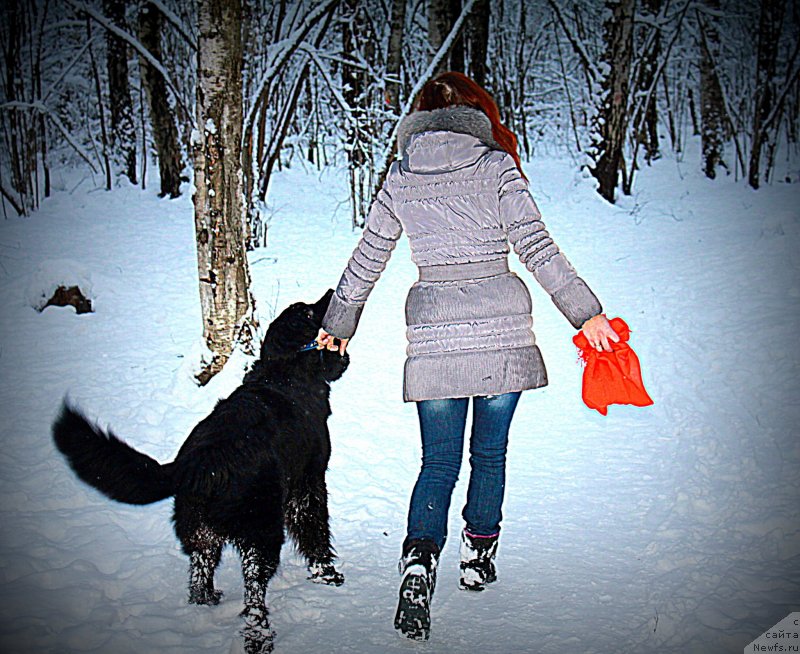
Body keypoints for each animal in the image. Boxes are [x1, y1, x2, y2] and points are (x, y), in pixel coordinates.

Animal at [50, 292, 346, 654]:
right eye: (306, 312)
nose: (332, 292)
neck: (284, 371)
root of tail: (196, 465)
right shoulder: (309, 484)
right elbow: (315, 534)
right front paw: (326, 574)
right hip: (261, 534)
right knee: (253, 594)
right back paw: (259, 638)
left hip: (201, 534)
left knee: (199, 575)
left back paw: (207, 601)